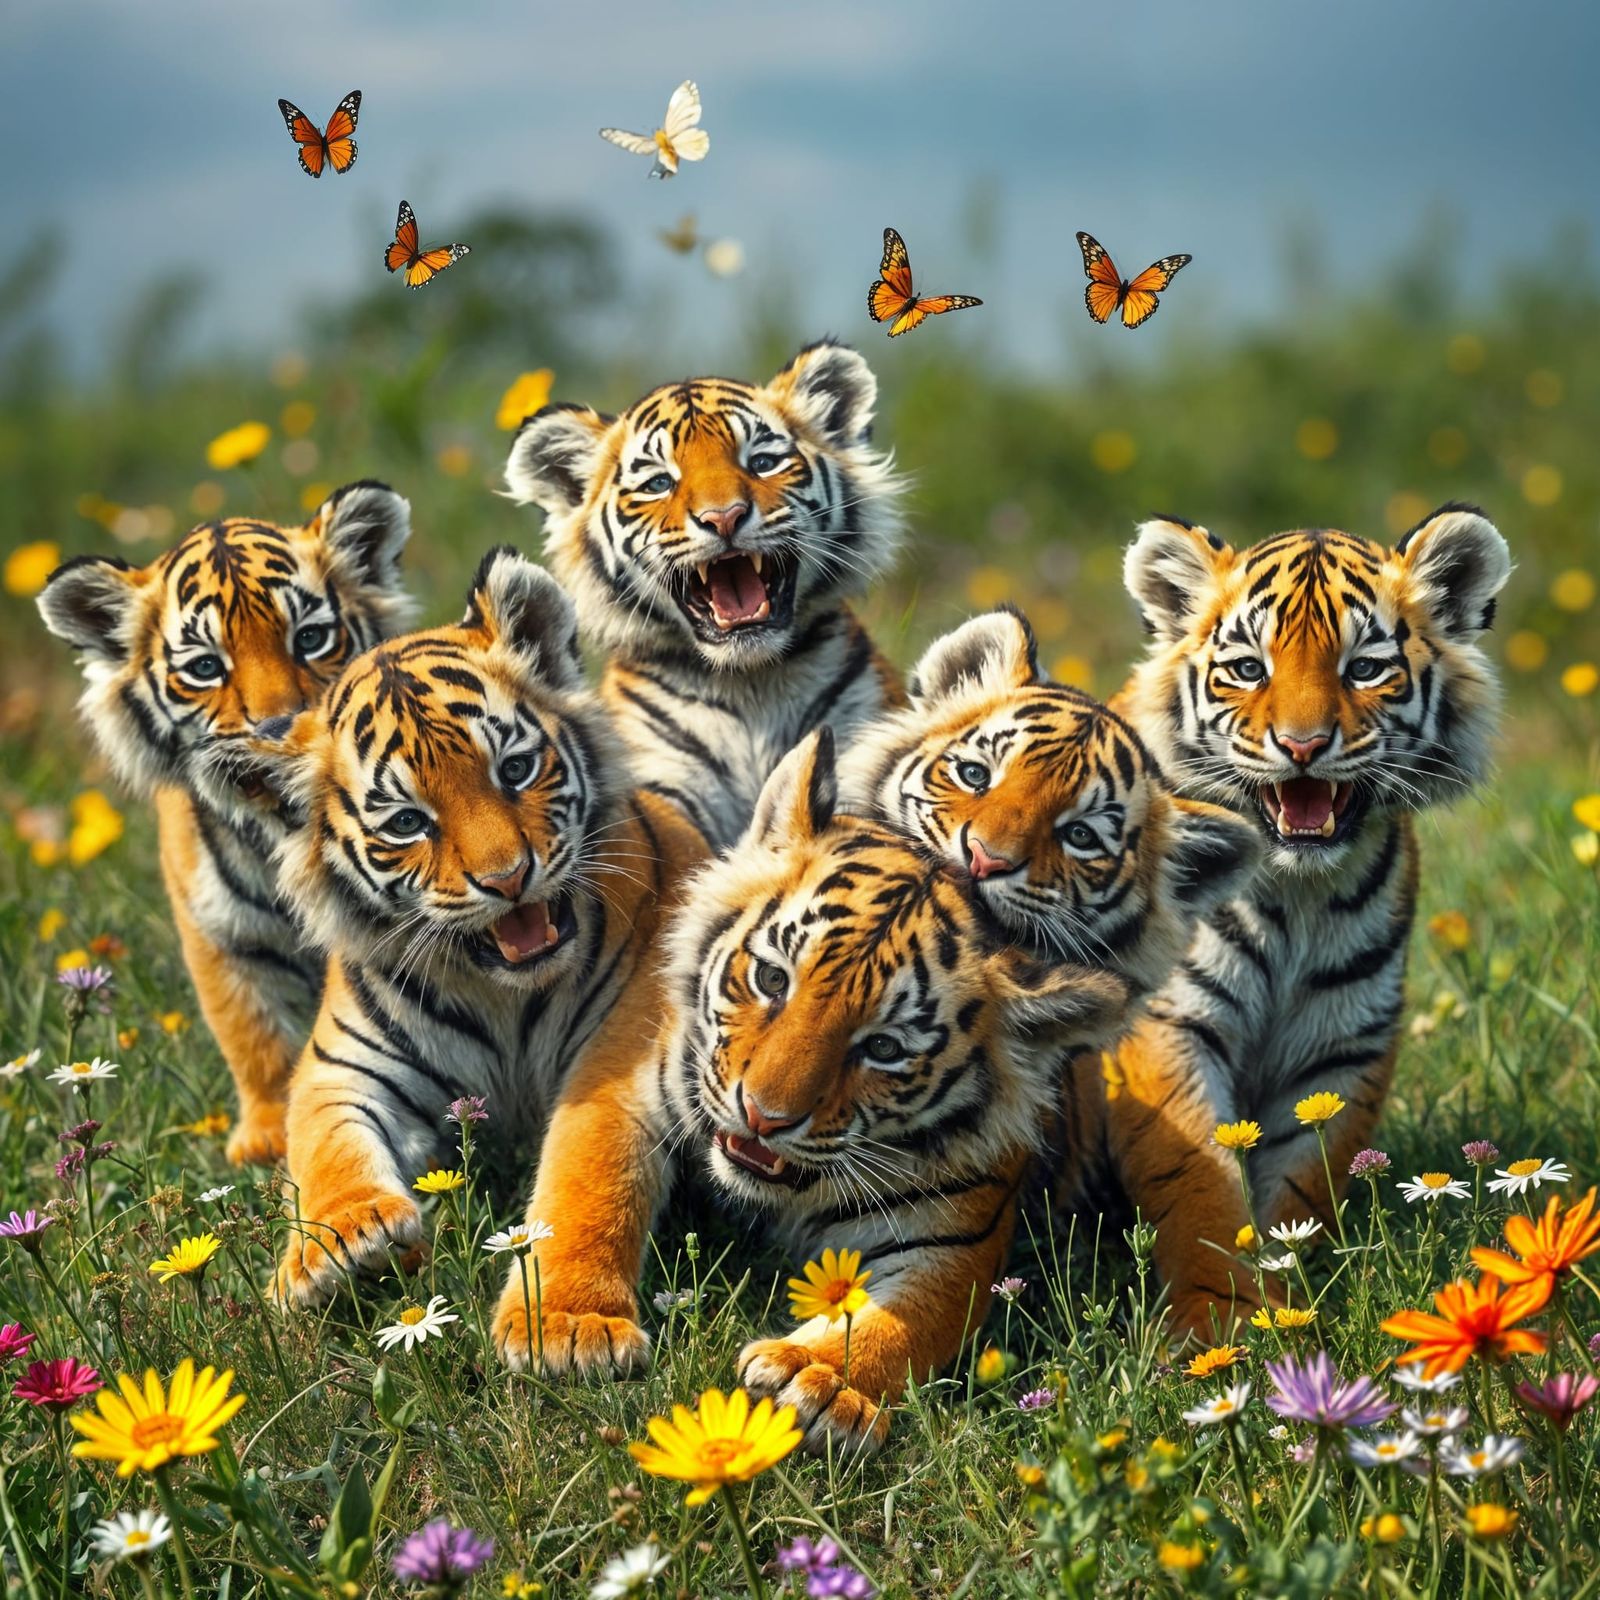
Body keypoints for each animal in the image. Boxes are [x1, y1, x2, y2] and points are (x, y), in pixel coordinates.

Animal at [35, 483, 415, 1165]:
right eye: (206, 667)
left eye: (311, 638)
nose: (278, 725)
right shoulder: (218, 932)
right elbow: (251, 1034)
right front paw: (266, 1138)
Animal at [233, 547, 708, 1306]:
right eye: (407, 823)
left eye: (515, 769)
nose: (508, 878)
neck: (501, 992)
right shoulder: (342, 1067)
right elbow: (323, 1148)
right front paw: (340, 1245)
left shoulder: (621, 1053)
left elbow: (589, 1173)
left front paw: (569, 1320)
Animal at [491, 726, 1133, 1453]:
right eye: (772, 979)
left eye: (883, 1048)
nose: (763, 1118)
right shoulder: (622, 1088)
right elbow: (588, 1197)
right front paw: (573, 1330)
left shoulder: (956, 1238)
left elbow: (905, 1318)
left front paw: (819, 1378)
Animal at [1108, 502, 1510, 1327]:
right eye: (1247, 669)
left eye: (1364, 668)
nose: (1301, 746)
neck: (1297, 894)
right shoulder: (1170, 1022)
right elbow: (1198, 1188)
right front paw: (1221, 1327)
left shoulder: (1341, 1043)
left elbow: (1302, 1188)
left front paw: (1287, 1306)